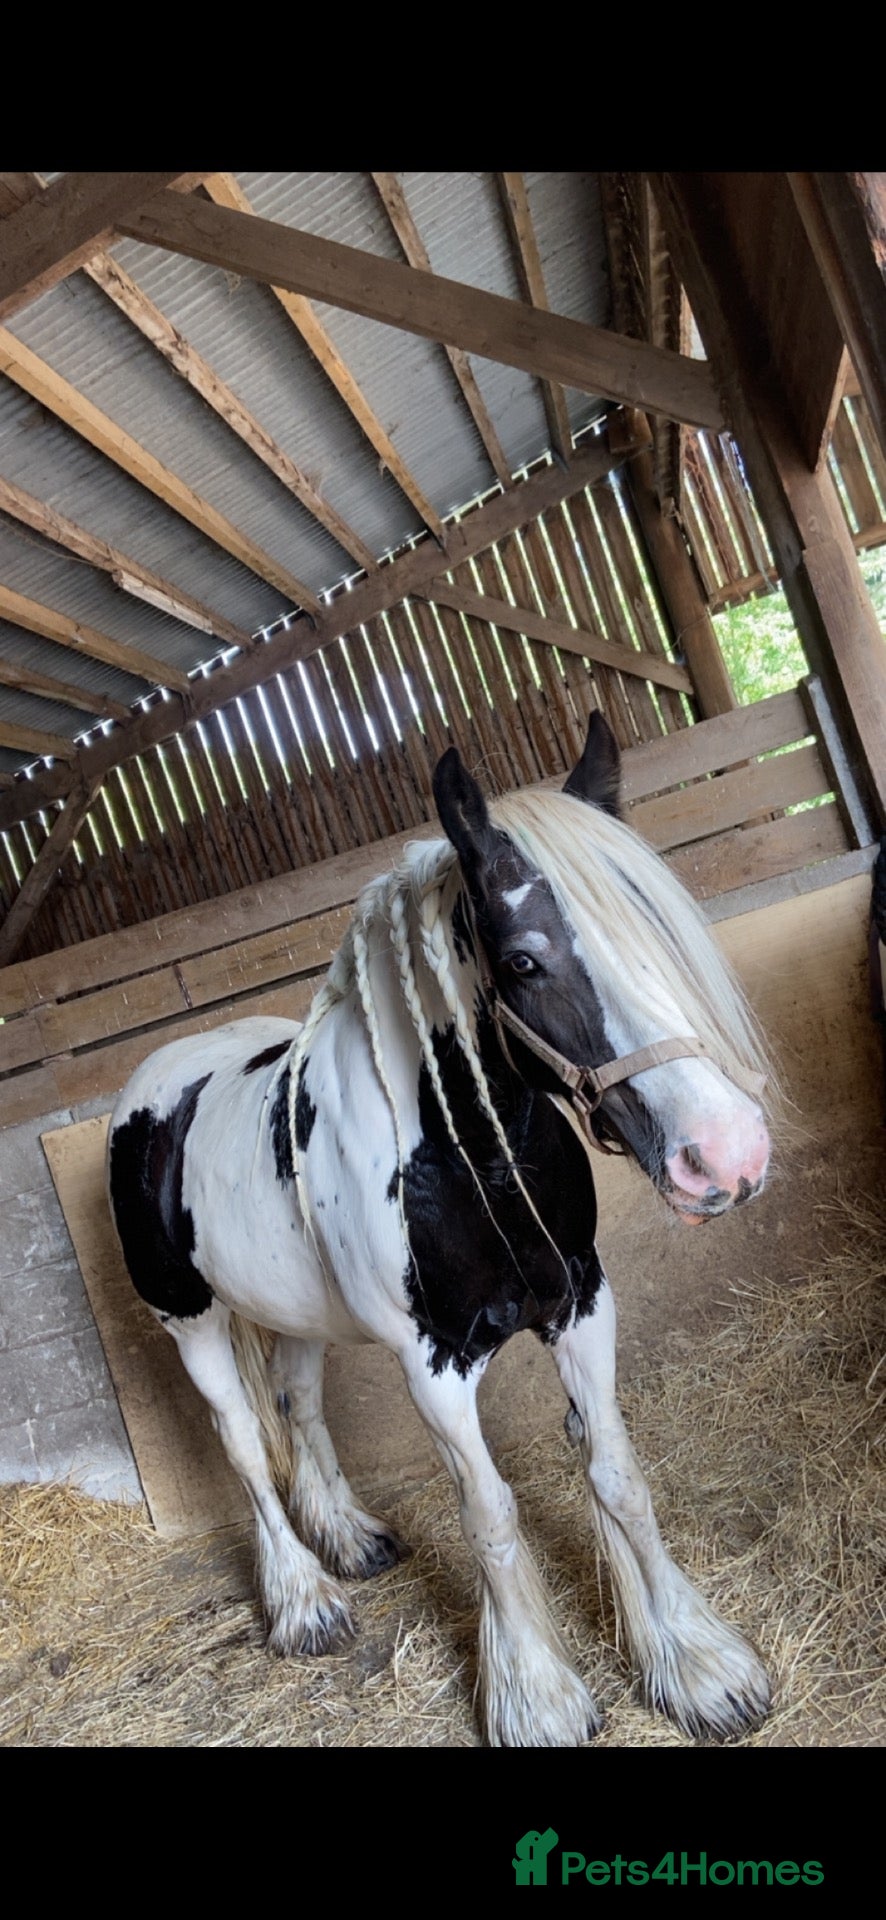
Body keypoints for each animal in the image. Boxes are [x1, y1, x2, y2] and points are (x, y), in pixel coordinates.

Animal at [107, 712, 773, 1747]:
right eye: (523, 962)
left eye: (655, 919)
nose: (728, 1157)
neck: (469, 1163)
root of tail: (162, 1077)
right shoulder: (434, 1365)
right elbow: (490, 1514)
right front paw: (537, 1698)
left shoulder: (584, 1302)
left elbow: (618, 1474)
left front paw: (696, 1668)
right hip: (191, 1324)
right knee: (247, 1446)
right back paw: (305, 1602)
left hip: (299, 1318)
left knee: (298, 1407)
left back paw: (350, 1538)